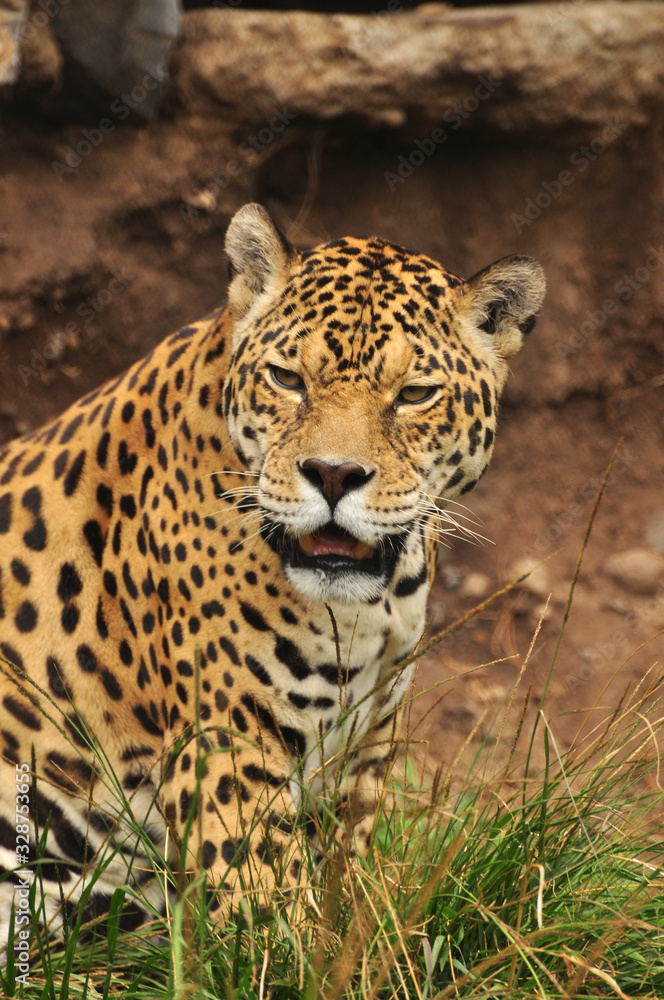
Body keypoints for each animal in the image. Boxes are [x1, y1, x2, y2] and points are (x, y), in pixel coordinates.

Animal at [0, 203, 545, 947]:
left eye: (414, 395)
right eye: (288, 380)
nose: (334, 474)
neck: (366, 609)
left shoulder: (367, 743)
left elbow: (345, 891)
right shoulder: (228, 746)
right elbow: (274, 921)